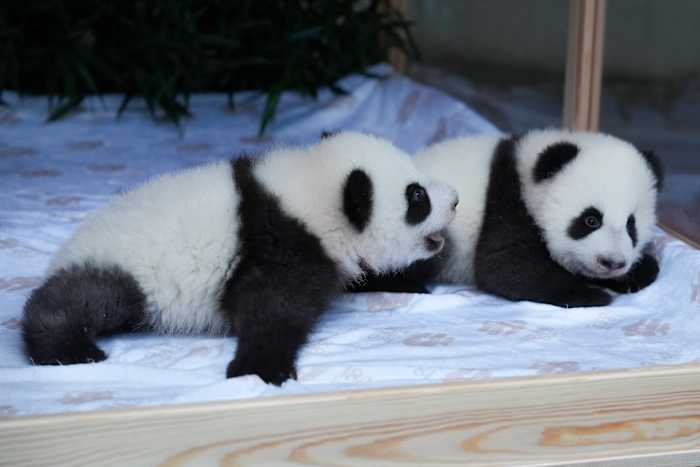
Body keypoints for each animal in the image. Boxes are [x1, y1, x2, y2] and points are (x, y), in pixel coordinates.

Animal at [22, 131, 459, 385]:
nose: (455, 200)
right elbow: (272, 307)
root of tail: (66, 251)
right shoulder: (280, 243)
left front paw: (408, 282)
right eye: (417, 197)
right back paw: (68, 348)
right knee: (83, 299)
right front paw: (261, 367)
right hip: (120, 268)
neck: (311, 195)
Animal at [351, 129, 663, 308]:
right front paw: (589, 294)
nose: (612, 263)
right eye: (590, 220)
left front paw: (640, 272)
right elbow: (505, 265)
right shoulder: (505, 198)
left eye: (632, 225)